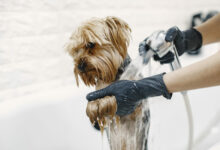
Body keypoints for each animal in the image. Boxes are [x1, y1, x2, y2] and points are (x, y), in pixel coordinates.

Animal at [66, 16, 150, 150]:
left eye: (90, 44)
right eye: (75, 50)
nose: (79, 66)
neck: (112, 76)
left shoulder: (135, 97)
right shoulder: (99, 88)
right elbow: (94, 101)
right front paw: (94, 107)